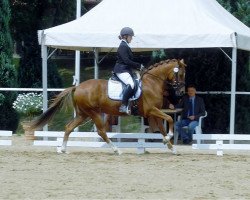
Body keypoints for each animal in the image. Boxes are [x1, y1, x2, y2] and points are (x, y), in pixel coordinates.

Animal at [27, 58, 186, 154]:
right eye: (181, 74)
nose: (182, 92)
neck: (152, 83)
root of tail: (77, 87)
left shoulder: (154, 112)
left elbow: (162, 128)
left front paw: (171, 147)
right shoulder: (151, 110)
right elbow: (169, 120)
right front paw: (169, 139)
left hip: (83, 114)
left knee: (69, 127)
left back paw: (63, 149)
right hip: (94, 113)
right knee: (101, 132)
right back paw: (116, 150)